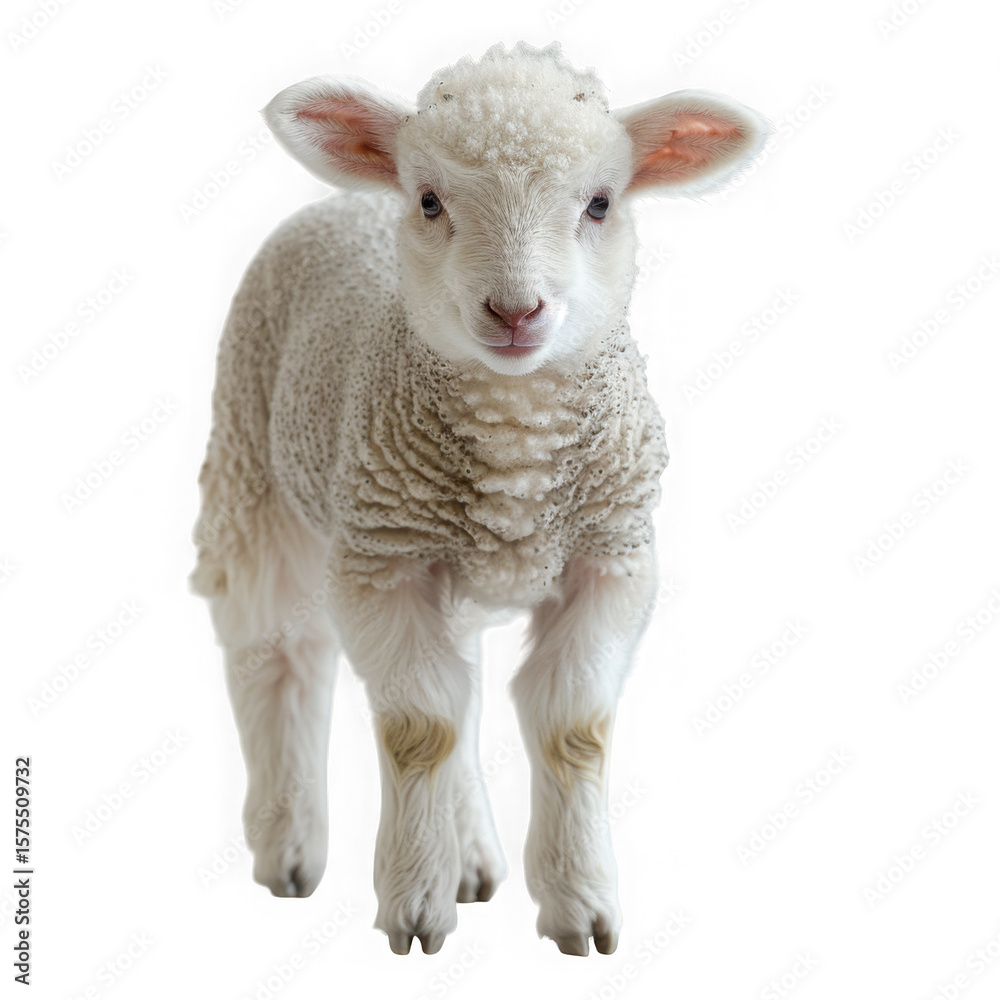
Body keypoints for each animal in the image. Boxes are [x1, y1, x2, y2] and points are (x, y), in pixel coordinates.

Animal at [191, 41, 767, 956]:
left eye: (601, 202)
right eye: (429, 200)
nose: (516, 310)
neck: (515, 435)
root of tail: (339, 202)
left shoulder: (612, 560)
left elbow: (570, 729)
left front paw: (580, 907)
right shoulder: (379, 562)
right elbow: (418, 728)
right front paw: (416, 909)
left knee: (456, 674)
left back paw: (469, 855)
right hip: (255, 471)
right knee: (275, 655)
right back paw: (289, 847)